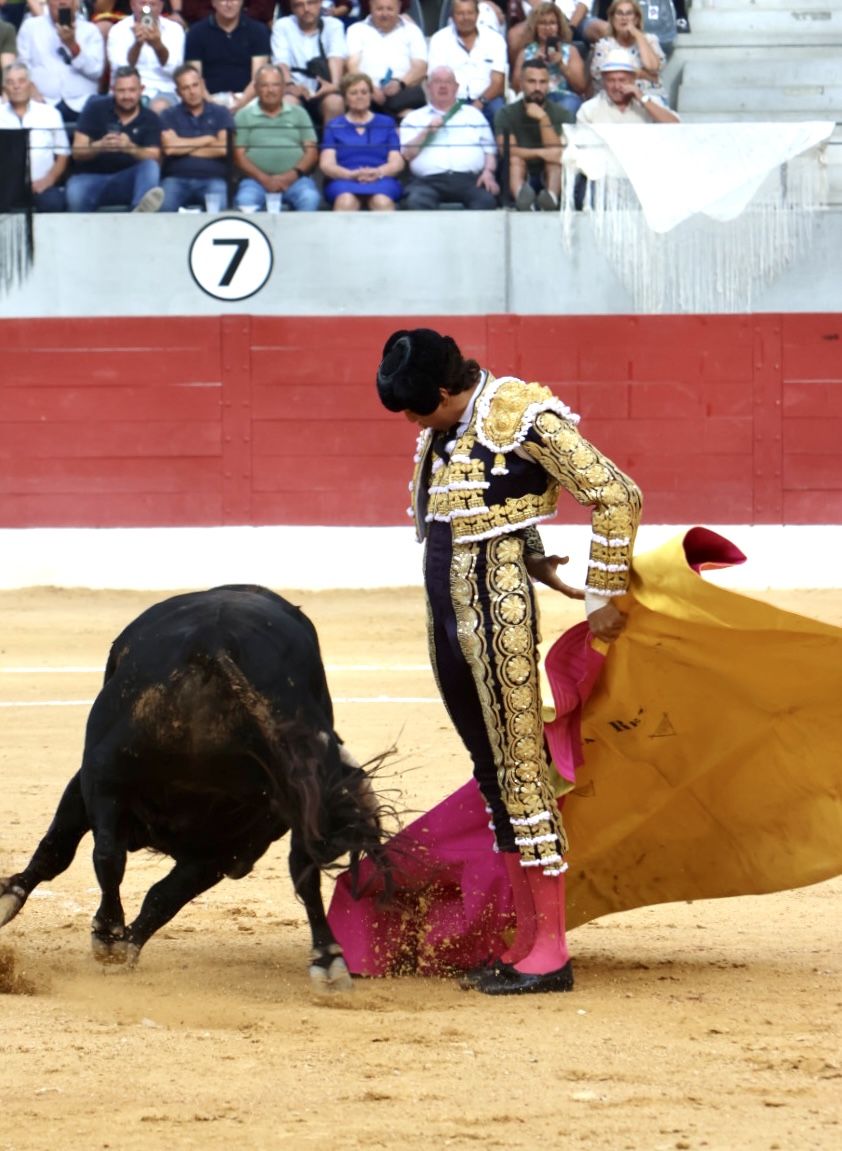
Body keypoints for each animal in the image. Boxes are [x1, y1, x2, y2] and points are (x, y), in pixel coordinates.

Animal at [0, 584, 393, 989]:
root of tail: (215, 645)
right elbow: (66, 852)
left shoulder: (221, 850)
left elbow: (156, 892)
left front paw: (120, 943)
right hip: (113, 777)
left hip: (112, 778)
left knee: (109, 856)